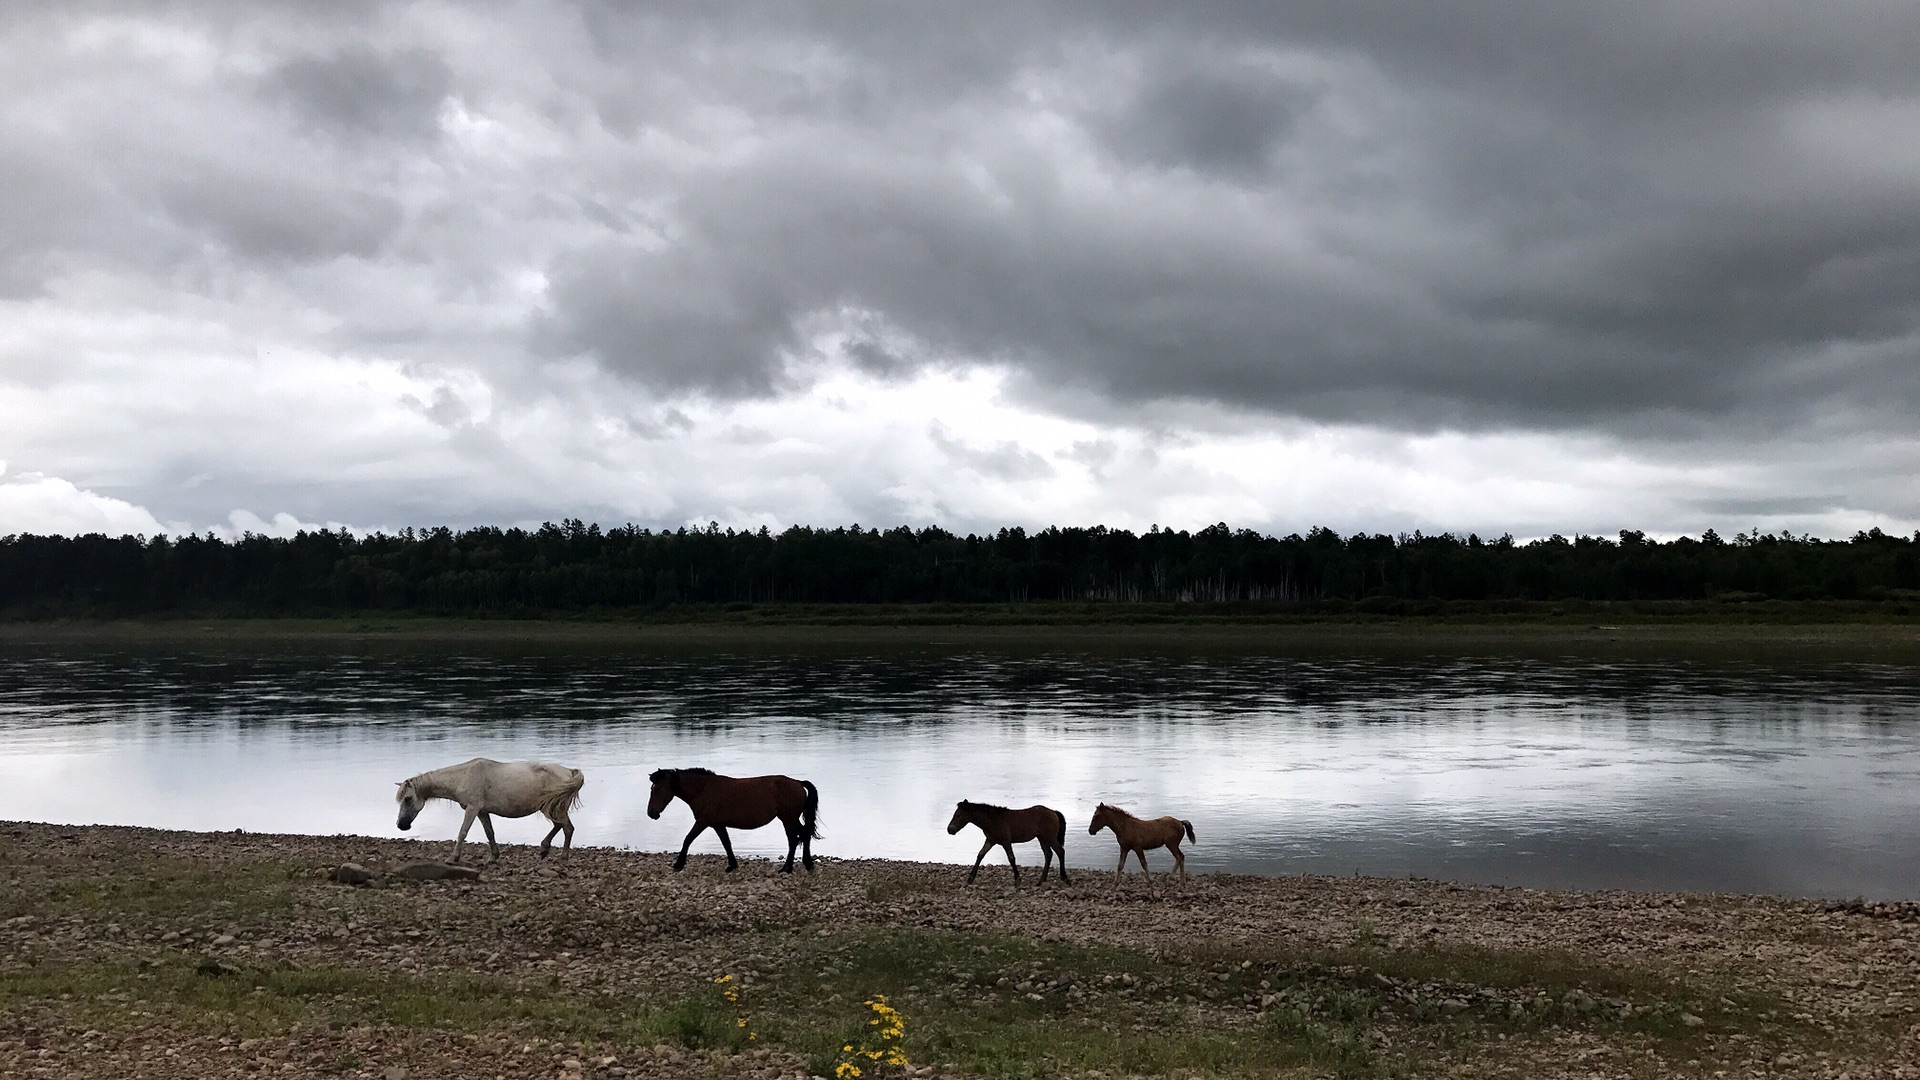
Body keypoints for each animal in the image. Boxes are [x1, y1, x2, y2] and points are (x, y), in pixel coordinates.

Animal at [395, 760, 583, 860]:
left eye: (408, 798)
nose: (401, 825)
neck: (464, 776)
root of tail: (569, 771)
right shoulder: (482, 812)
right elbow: (489, 833)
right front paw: (493, 857)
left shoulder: (472, 809)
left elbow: (462, 832)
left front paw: (453, 858)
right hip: (553, 809)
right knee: (561, 826)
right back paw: (544, 850)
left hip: (553, 808)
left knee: (567, 828)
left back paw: (562, 856)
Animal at [652, 760, 817, 868]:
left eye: (656, 789)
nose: (651, 813)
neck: (704, 789)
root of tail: (798, 782)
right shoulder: (718, 824)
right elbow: (726, 843)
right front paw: (732, 865)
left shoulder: (702, 822)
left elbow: (688, 839)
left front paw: (678, 864)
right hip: (790, 819)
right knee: (803, 835)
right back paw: (805, 864)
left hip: (788, 819)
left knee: (795, 839)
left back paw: (788, 868)